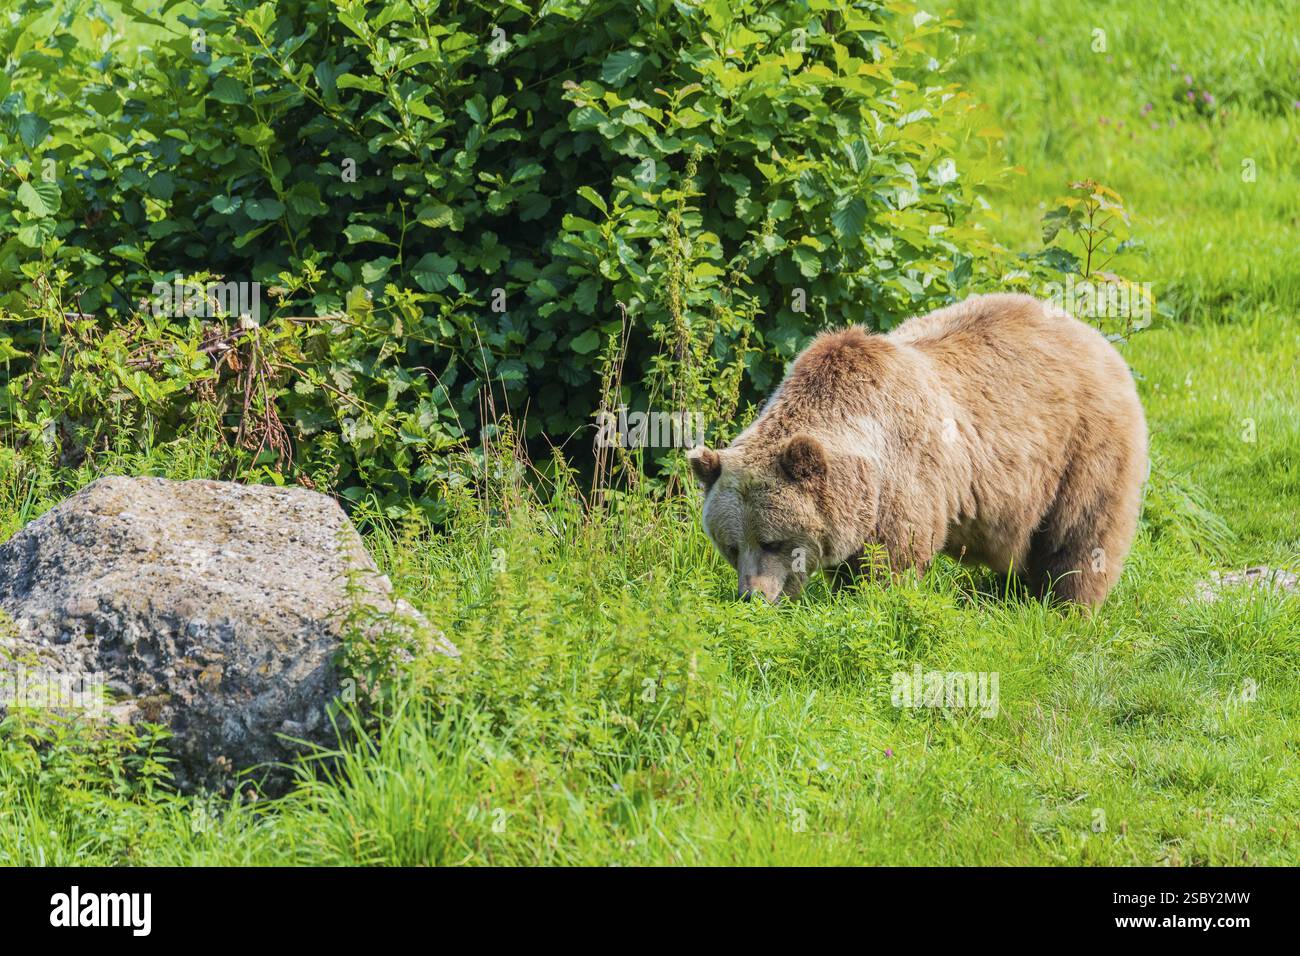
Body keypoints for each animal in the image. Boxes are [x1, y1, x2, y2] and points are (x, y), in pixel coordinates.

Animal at [688, 293, 1148, 607]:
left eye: (772, 541)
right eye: (730, 546)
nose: (751, 595)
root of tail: (1095, 336)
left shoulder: (903, 483)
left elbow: (894, 562)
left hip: (1084, 448)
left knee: (1079, 536)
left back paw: (1064, 606)